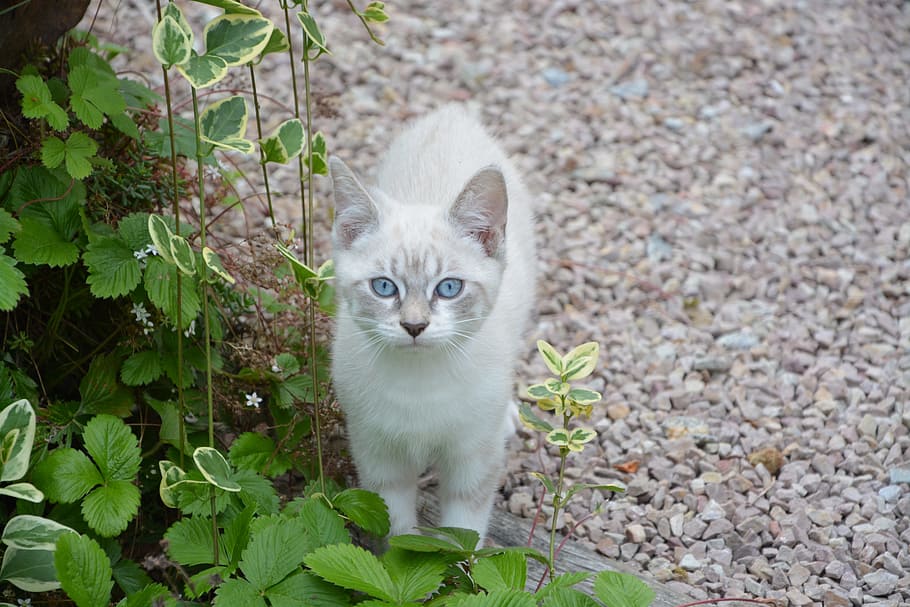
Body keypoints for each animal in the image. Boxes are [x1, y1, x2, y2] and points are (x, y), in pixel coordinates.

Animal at [332, 104, 536, 548]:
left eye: (448, 288)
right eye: (384, 287)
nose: (414, 325)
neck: (420, 384)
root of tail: (451, 113)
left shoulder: (472, 456)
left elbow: (464, 531)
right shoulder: (377, 453)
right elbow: (397, 531)